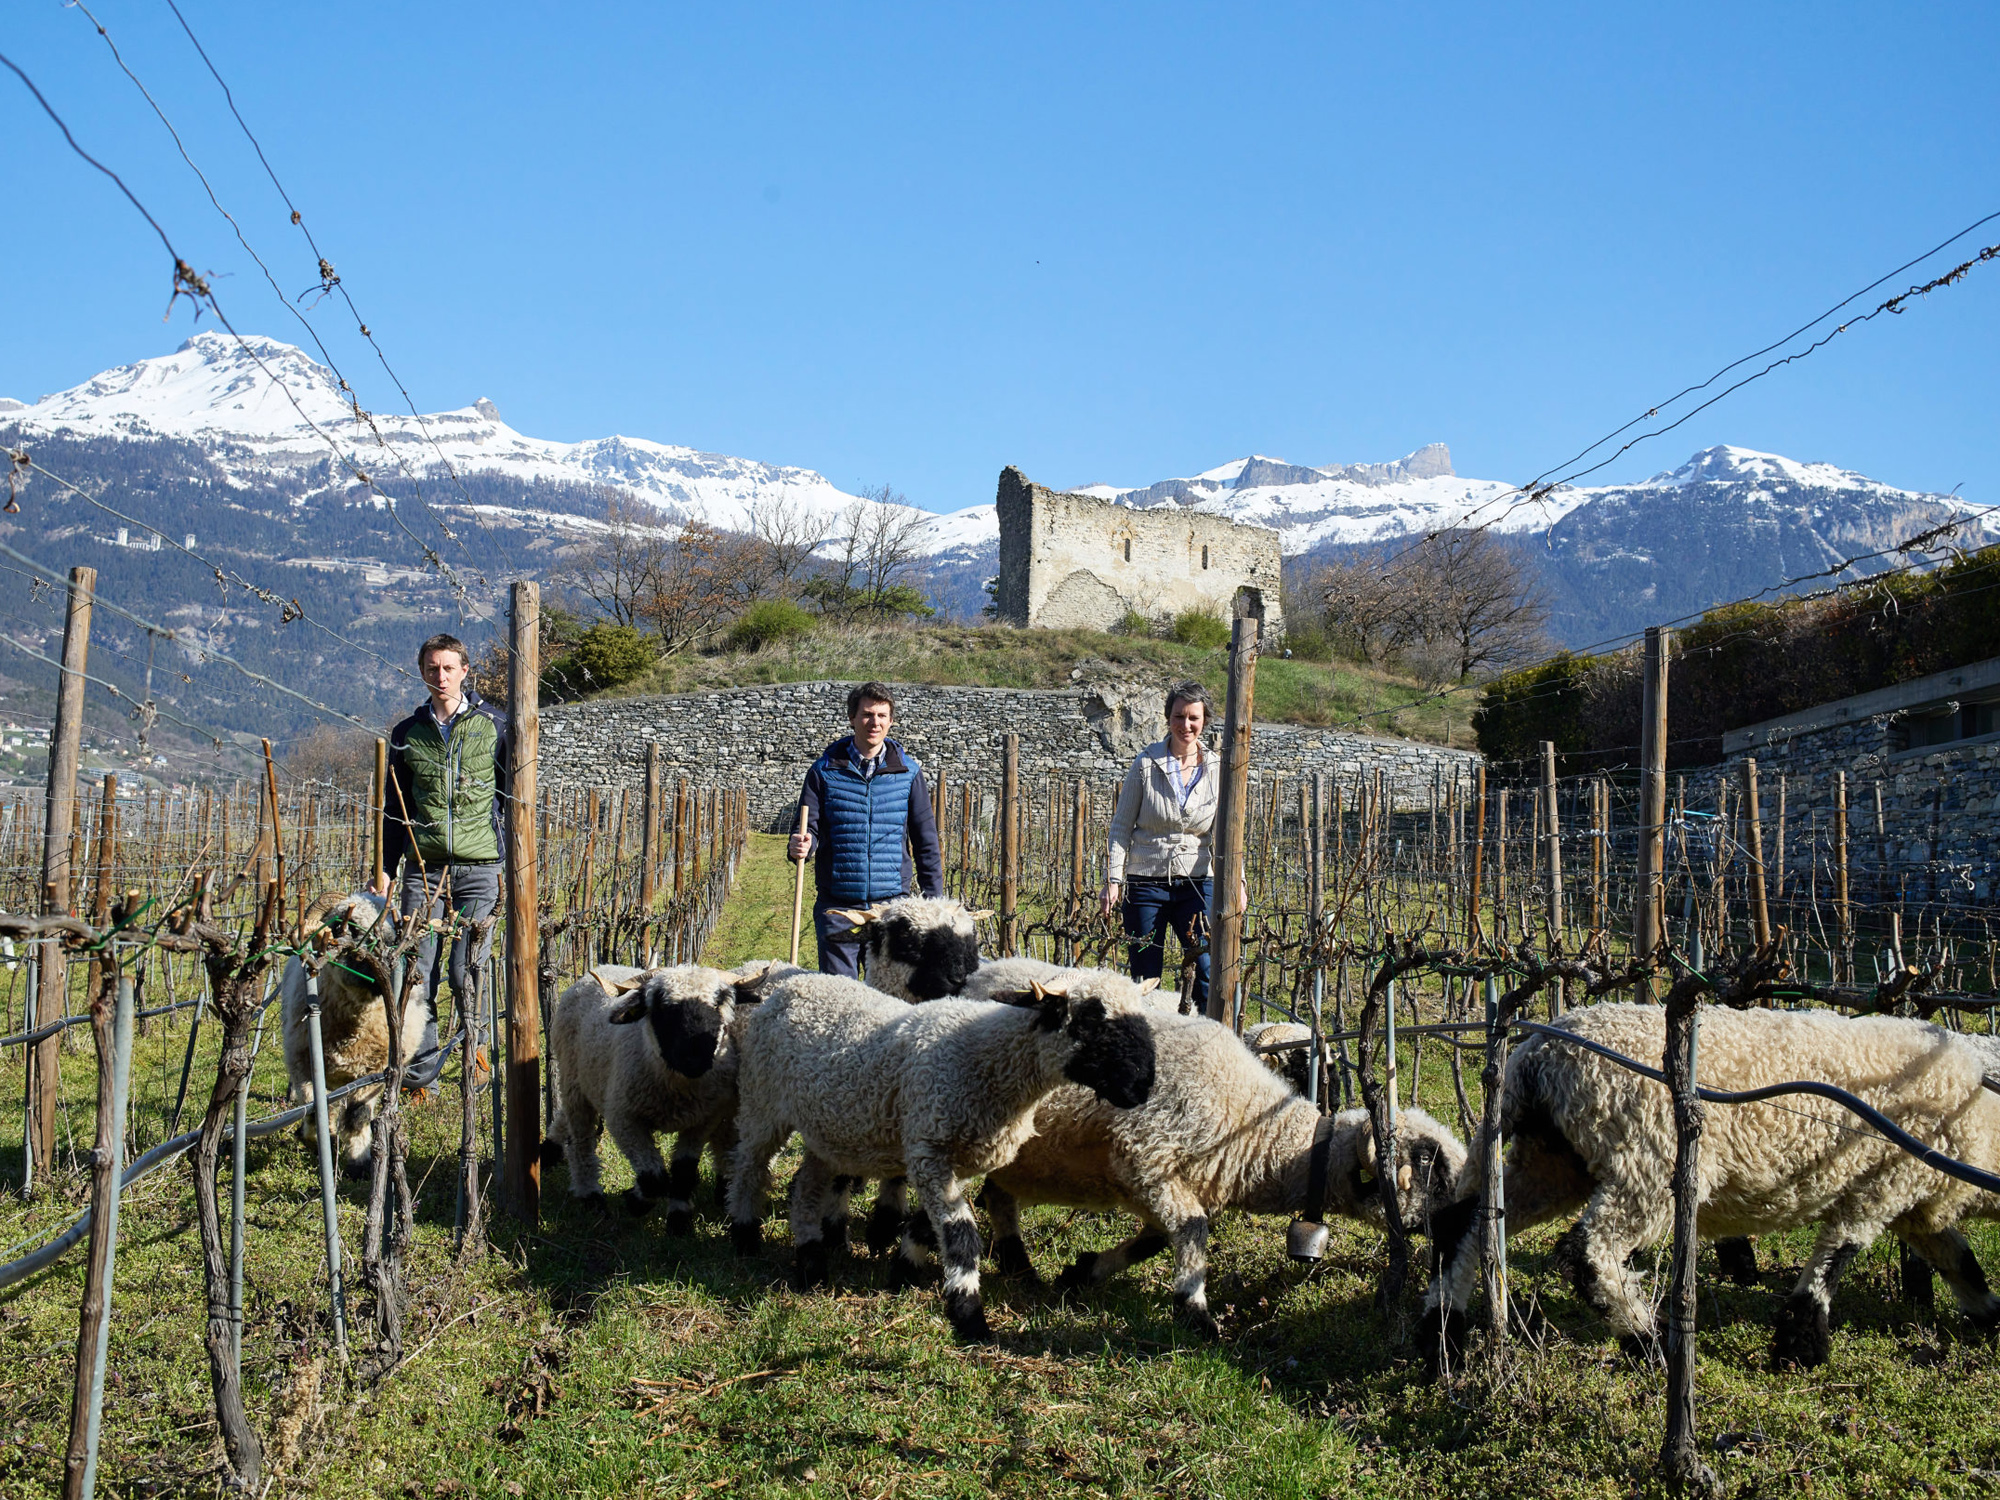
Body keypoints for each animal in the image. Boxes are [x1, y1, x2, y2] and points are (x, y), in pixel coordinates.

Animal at [282, 892, 418, 1176]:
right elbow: (314, 1108)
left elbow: (358, 1117)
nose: (386, 964)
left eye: (394, 932)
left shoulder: (375, 1073)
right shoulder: (302, 1066)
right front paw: (315, 1139)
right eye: (344, 927)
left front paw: (359, 1161)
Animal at [536, 964, 752, 1232]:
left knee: (565, 1119)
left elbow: (683, 1171)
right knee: (580, 1141)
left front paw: (679, 1223)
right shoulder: (624, 1118)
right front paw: (636, 1201)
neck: (678, 1087)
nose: (694, 1058)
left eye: (717, 1004)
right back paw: (591, 1196)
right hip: (572, 1080)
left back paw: (548, 1153)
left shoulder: (702, 1121)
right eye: (661, 1007)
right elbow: (654, 1178)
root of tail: (599, 969)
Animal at [732, 968, 1160, 1344]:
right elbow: (961, 1236)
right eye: (1088, 1022)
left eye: (1141, 1019)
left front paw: (903, 1272)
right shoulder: (929, 1149)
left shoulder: (963, 1159)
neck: (986, 1060)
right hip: (761, 1103)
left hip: (827, 1130)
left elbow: (927, 1226)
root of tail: (793, 985)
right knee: (748, 1168)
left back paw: (811, 1263)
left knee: (807, 1186)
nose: (1142, 1086)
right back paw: (745, 1237)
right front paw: (969, 1316)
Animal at [984, 1000, 1472, 1336]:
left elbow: (1155, 1241)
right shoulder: (1144, 1154)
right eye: (1432, 1168)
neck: (1255, 1127)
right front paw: (1195, 1311)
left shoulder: (1161, 1183)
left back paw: (1012, 1262)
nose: (1468, 1222)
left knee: (995, 1194)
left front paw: (1084, 1272)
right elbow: (1192, 1228)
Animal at [1424, 1004, 2000, 1368]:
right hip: (1646, 1160)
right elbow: (1834, 1259)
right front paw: (1800, 1347)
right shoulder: (1880, 1186)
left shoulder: (1916, 1204)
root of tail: (1537, 1056)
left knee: (1468, 1225)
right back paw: (1647, 1341)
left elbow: (1960, 1260)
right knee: (1589, 1253)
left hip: (1554, 1161)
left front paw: (1989, 1315)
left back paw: (1442, 1328)